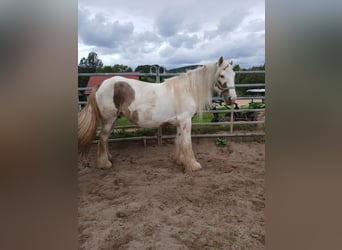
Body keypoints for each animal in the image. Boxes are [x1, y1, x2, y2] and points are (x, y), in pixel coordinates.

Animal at [78, 57, 236, 173]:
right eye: (222, 75)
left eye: (234, 75)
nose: (232, 99)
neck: (187, 89)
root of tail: (101, 84)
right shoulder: (186, 121)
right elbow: (187, 143)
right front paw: (193, 165)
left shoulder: (180, 123)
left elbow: (179, 141)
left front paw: (180, 161)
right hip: (109, 119)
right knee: (102, 138)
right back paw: (104, 163)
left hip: (113, 119)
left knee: (105, 139)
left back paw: (109, 158)